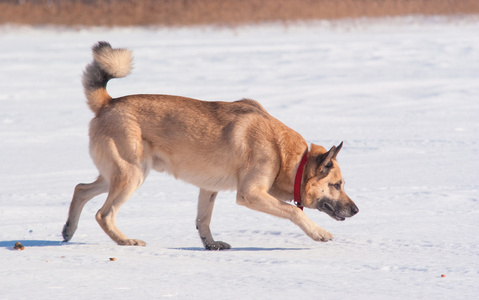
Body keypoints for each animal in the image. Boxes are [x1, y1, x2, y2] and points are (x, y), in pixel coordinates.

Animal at [62, 41, 358, 250]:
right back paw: (126, 241)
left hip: (118, 174)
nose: (356, 210)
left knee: (81, 189)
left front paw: (211, 245)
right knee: (103, 213)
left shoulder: (209, 188)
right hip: (132, 175)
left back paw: (68, 230)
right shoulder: (250, 194)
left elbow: (202, 221)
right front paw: (319, 232)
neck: (287, 156)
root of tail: (107, 103)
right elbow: (293, 211)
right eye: (337, 185)